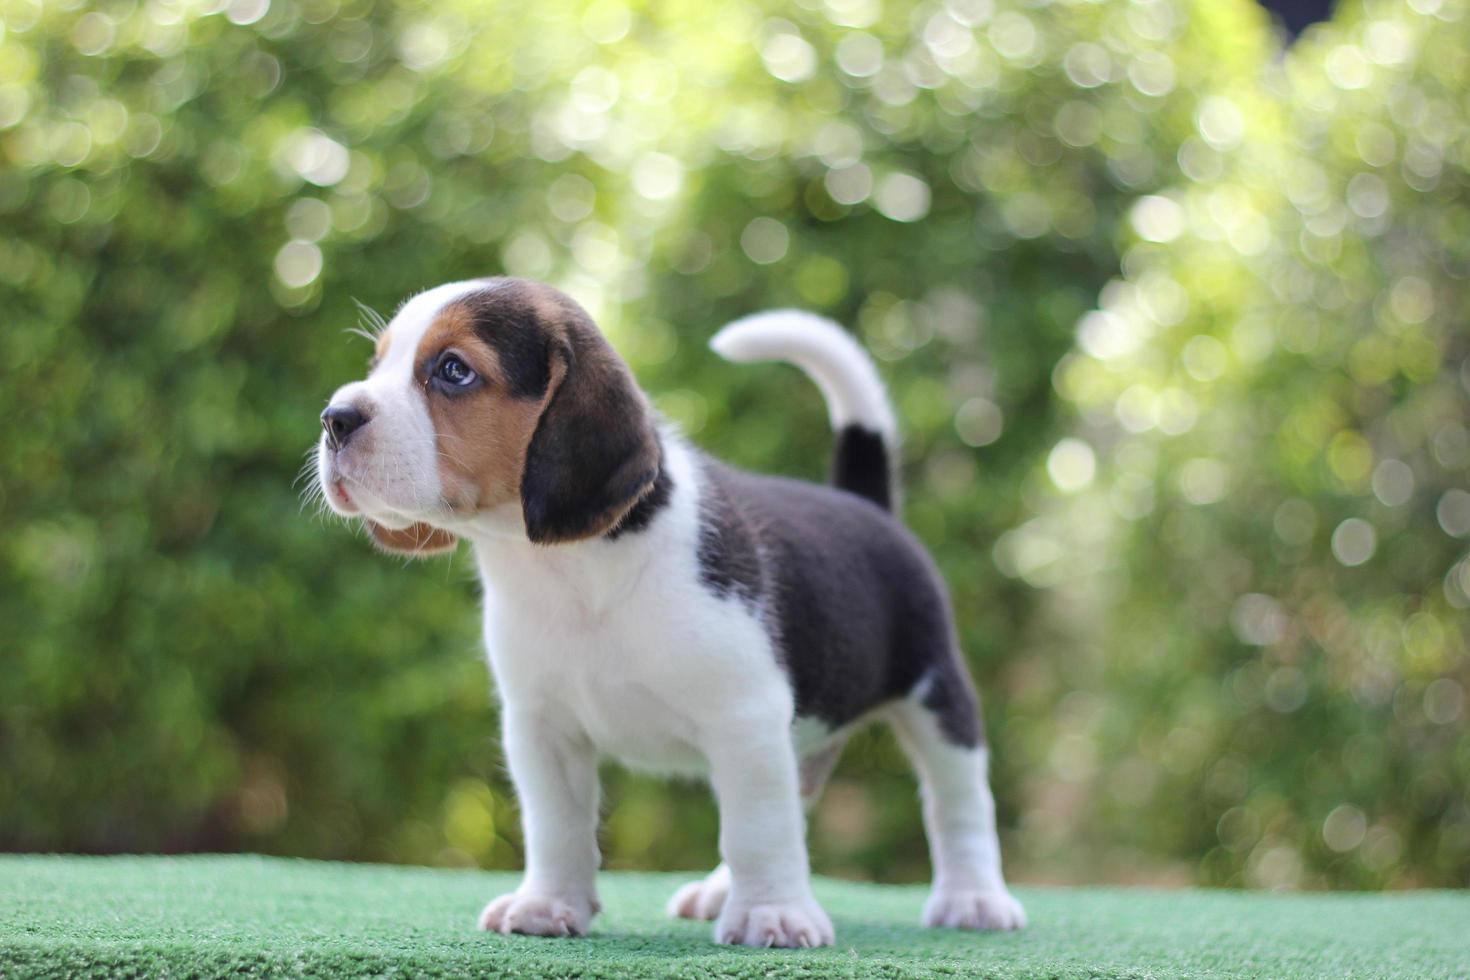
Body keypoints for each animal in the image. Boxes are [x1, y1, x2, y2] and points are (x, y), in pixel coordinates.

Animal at [313, 279, 1023, 946]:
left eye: (453, 370)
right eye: (377, 362)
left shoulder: (745, 716)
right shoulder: (541, 726)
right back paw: (718, 891)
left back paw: (973, 900)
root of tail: (865, 505)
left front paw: (771, 914)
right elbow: (556, 824)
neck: (570, 571)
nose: (334, 418)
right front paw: (549, 905)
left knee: (957, 805)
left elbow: (758, 827)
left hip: (936, 697)